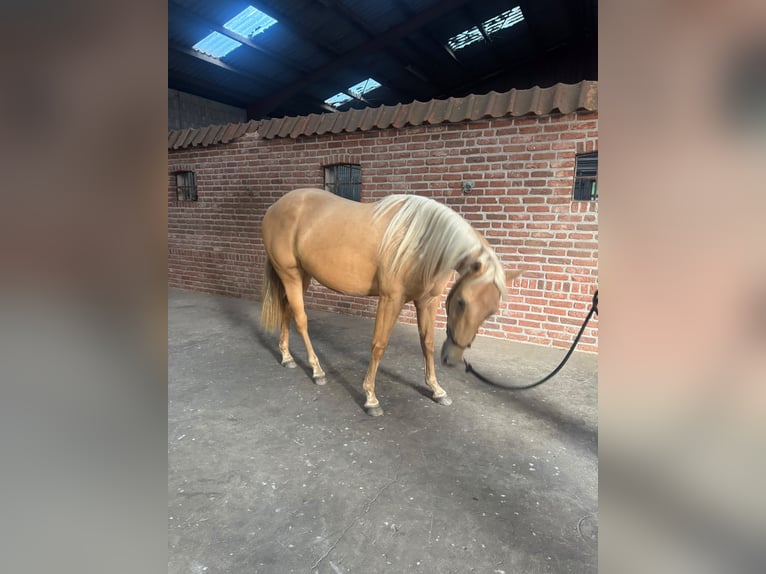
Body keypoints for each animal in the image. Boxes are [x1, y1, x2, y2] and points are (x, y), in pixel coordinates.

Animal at [260, 188, 521, 416]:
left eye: (491, 311)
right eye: (461, 302)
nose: (453, 359)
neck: (422, 244)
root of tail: (276, 207)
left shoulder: (427, 302)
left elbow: (427, 343)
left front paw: (436, 389)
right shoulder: (390, 300)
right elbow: (379, 345)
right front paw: (371, 398)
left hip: (302, 276)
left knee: (287, 310)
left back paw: (287, 357)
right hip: (290, 275)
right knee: (301, 319)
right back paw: (317, 370)